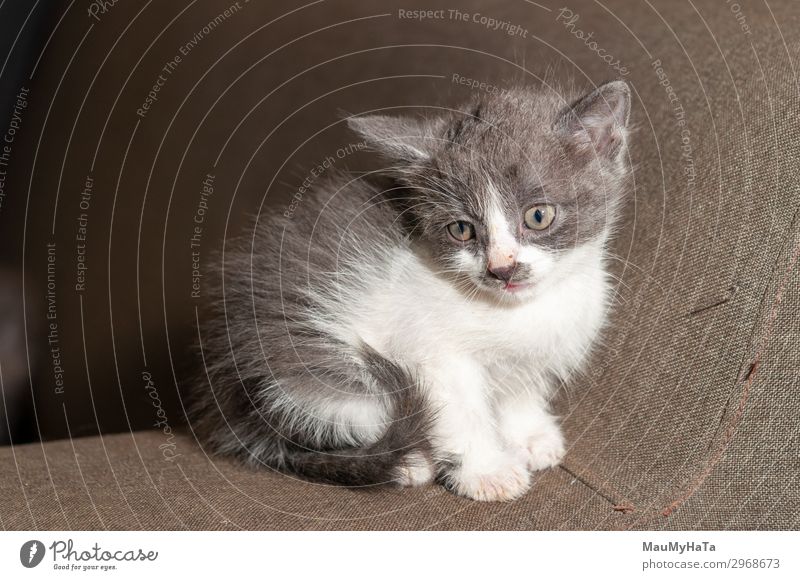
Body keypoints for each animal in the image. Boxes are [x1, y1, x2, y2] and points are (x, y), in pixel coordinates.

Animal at [194, 79, 632, 500]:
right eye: (461, 229)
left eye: (538, 216)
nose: (501, 268)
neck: (515, 308)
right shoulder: (428, 354)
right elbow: (460, 411)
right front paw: (487, 473)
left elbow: (520, 385)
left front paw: (529, 436)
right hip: (315, 372)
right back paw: (410, 464)